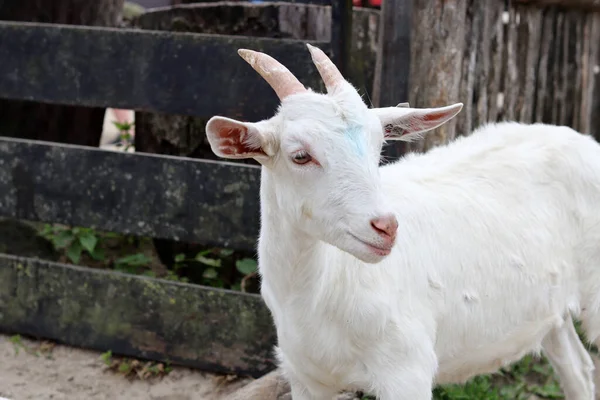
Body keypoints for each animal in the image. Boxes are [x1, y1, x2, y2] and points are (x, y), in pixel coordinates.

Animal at [207, 44, 600, 400]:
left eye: (378, 145)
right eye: (300, 156)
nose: (385, 227)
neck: (318, 295)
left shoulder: (406, 371)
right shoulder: (305, 378)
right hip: (550, 307)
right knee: (578, 369)